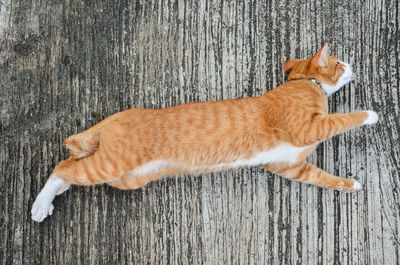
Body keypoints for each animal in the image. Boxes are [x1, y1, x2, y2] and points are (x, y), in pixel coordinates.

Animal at [31, 43, 378, 221]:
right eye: (339, 63)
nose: (352, 65)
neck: (305, 83)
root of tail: (126, 113)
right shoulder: (306, 128)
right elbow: (341, 119)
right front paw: (370, 115)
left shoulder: (288, 165)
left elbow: (321, 177)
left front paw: (348, 185)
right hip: (113, 164)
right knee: (61, 167)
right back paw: (40, 204)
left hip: (125, 178)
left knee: (73, 166)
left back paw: (53, 196)